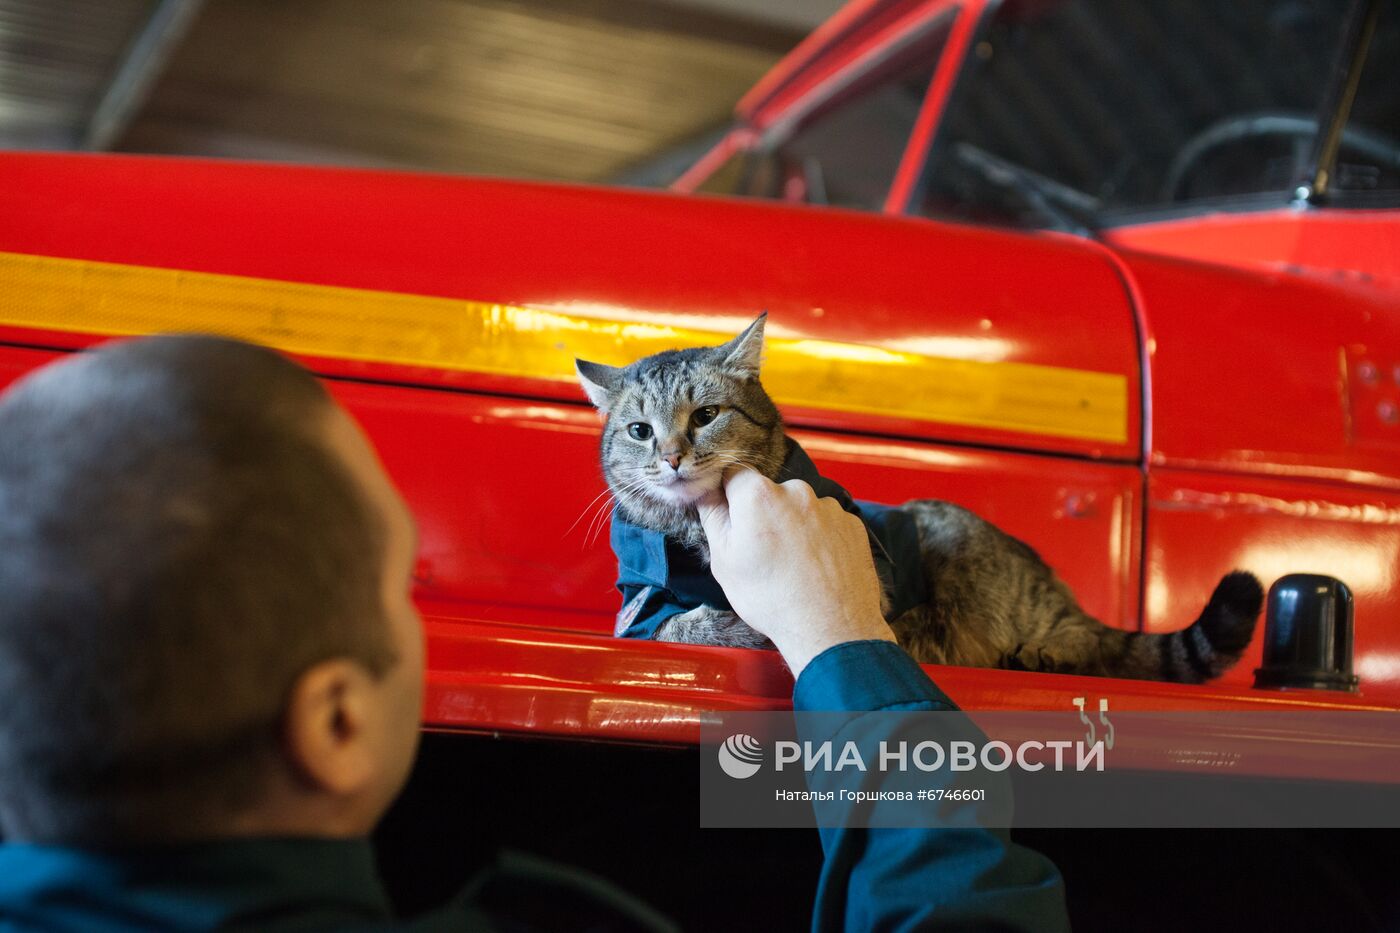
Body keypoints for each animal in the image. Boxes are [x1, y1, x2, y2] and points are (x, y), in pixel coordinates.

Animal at [574, 312, 1265, 683]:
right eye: (640, 431)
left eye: (707, 416)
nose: (670, 456)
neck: (689, 534)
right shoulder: (639, 602)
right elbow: (666, 622)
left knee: (1083, 636)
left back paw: (1045, 652)